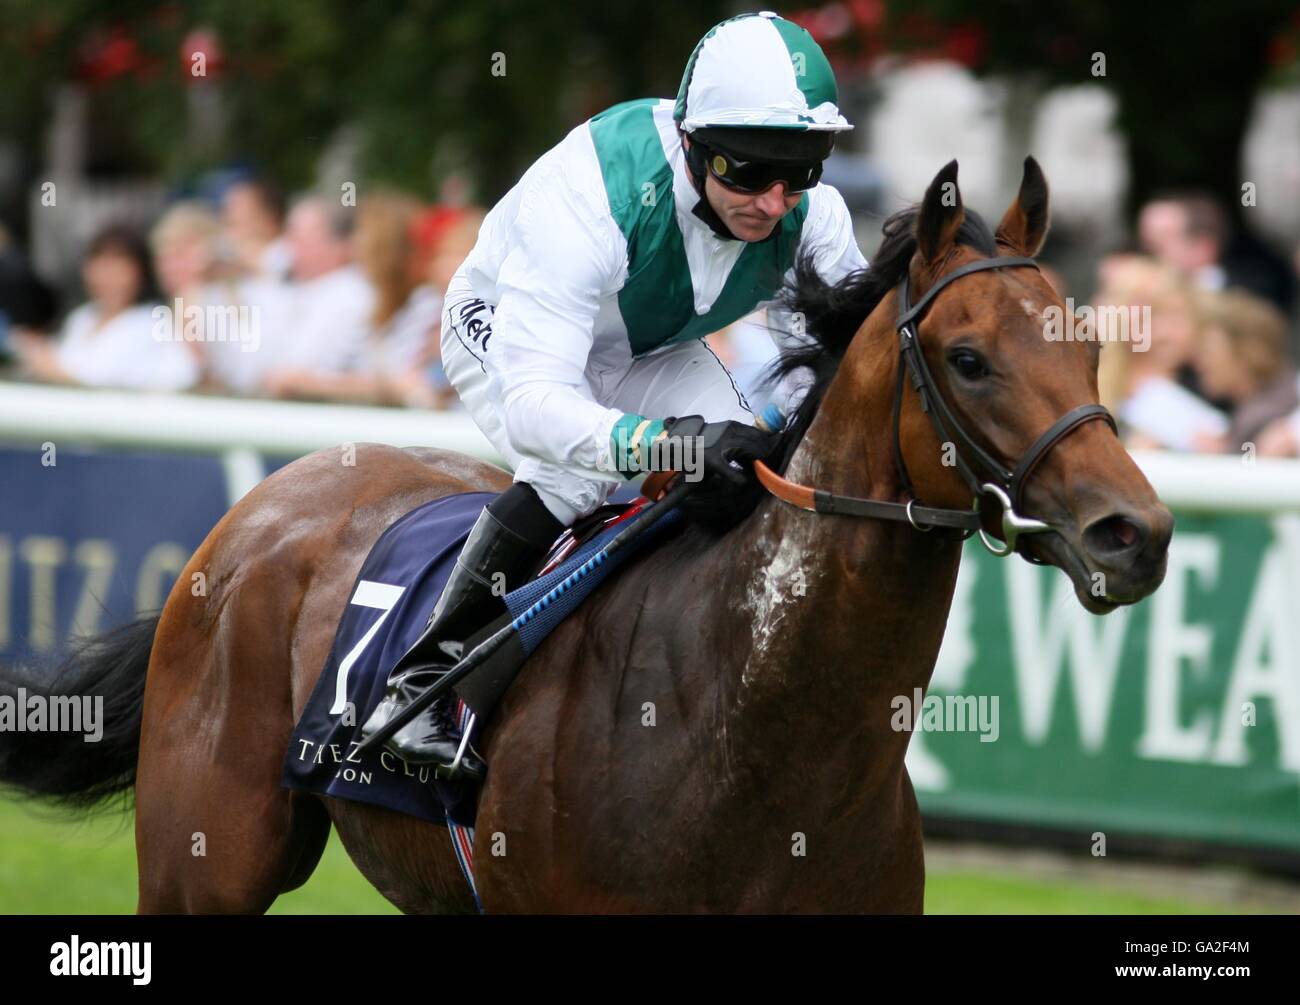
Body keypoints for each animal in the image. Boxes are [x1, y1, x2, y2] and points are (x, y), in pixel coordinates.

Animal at [0, 158, 1175, 915]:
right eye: (970, 359)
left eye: (1090, 343)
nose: (1137, 533)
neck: (754, 727)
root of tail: (256, 509)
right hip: (205, 860)